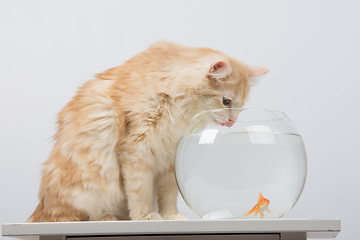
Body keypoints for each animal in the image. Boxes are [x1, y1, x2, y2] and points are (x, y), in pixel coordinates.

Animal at [28, 40, 268, 221]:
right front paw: (144, 216)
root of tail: (41, 208)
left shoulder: (170, 157)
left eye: (241, 106)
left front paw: (171, 216)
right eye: (226, 101)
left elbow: (168, 195)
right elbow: (140, 191)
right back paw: (107, 218)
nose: (232, 122)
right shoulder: (137, 150)